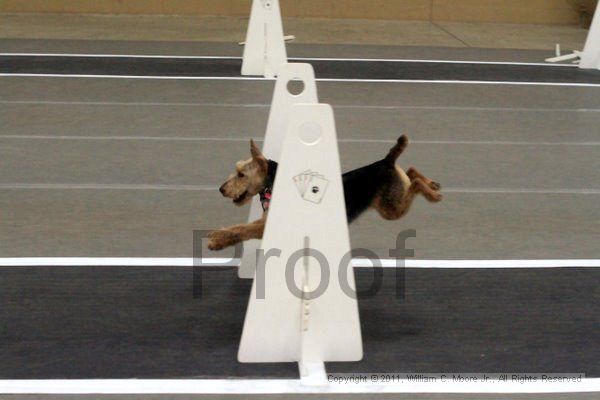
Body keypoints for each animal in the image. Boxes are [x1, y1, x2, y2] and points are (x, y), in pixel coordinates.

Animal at [209, 136, 442, 252]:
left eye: (241, 174)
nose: (221, 189)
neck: (272, 184)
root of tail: (386, 161)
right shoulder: (265, 221)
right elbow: (238, 228)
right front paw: (216, 236)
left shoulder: (268, 225)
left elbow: (242, 230)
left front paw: (216, 241)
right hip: (392, 200)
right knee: (410, 171)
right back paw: (434, 184)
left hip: (391, 208)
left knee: (415, 182)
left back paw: (433, 194)